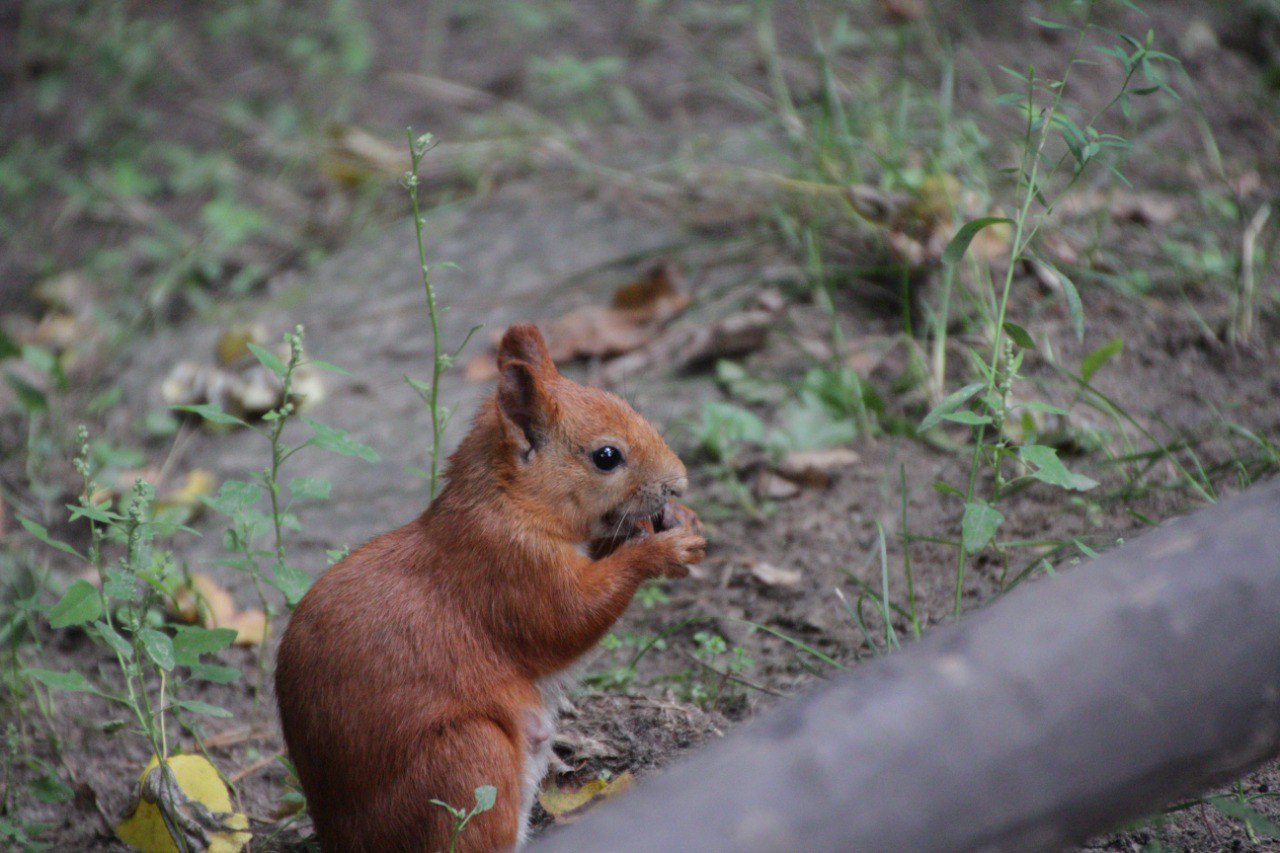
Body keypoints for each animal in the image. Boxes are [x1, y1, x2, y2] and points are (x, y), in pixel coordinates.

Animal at [273, 322, 706, 845]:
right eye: (607, 457)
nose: (679, 482)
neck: (508, 503)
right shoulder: (508, 571)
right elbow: (568, 620)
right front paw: (661, 550)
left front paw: (679, 519)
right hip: (466, 759)